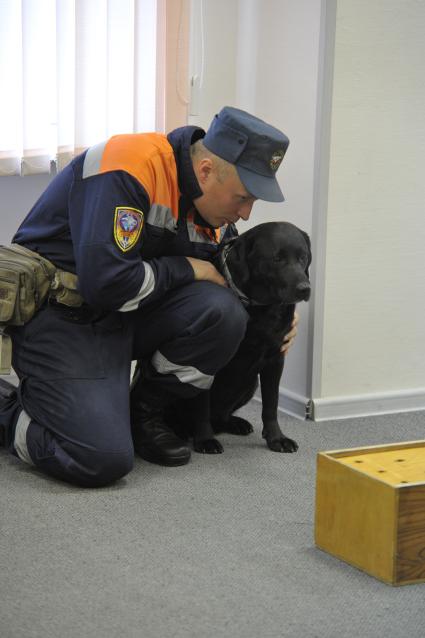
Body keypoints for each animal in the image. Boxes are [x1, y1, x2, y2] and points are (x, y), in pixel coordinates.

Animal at [169, 222, 312, 458]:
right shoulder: (208, 360)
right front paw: (205, 439)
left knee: (220, 416)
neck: (262, 308)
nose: (305, 288)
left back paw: (234, 423)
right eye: (277, 258)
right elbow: (201, 406)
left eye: (303, 257)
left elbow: (271, 404)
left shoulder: (276, 360)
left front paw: (277, 438)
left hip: (250, 383)